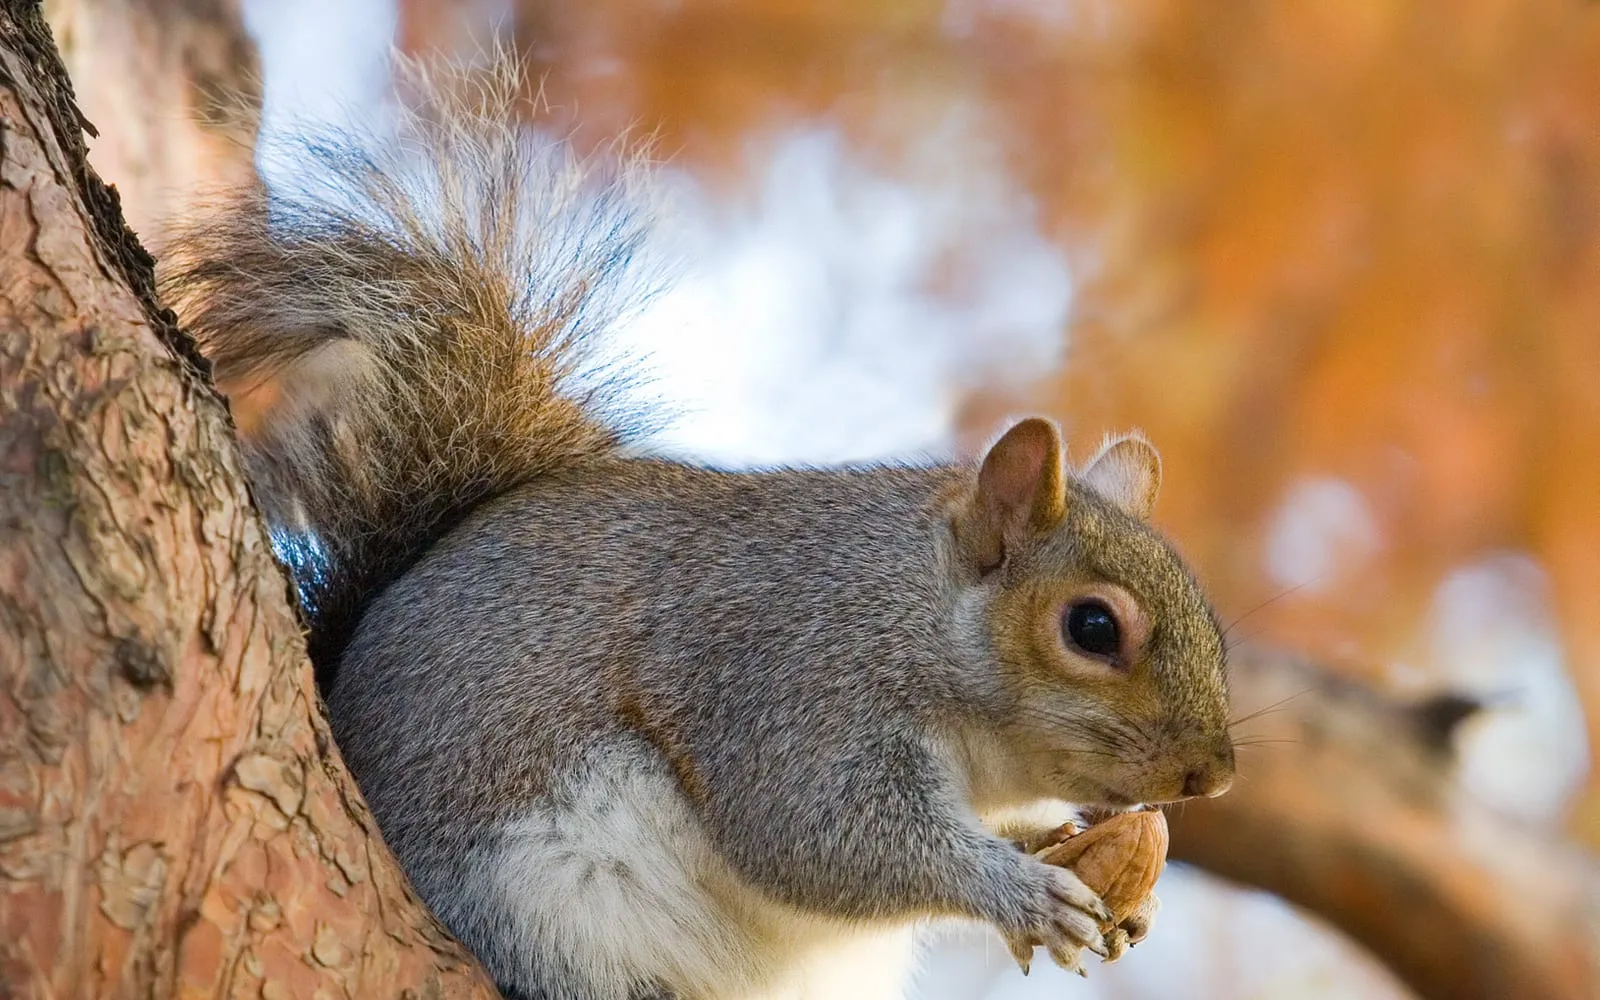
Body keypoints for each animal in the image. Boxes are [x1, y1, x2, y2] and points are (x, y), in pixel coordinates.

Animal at [160, 56, 1235, 1000]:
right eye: (1092, 627)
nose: (1213, 776)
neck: (915, 616)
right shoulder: (788, 682)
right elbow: (819, 833)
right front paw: (1017, 892)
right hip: (540, 901)